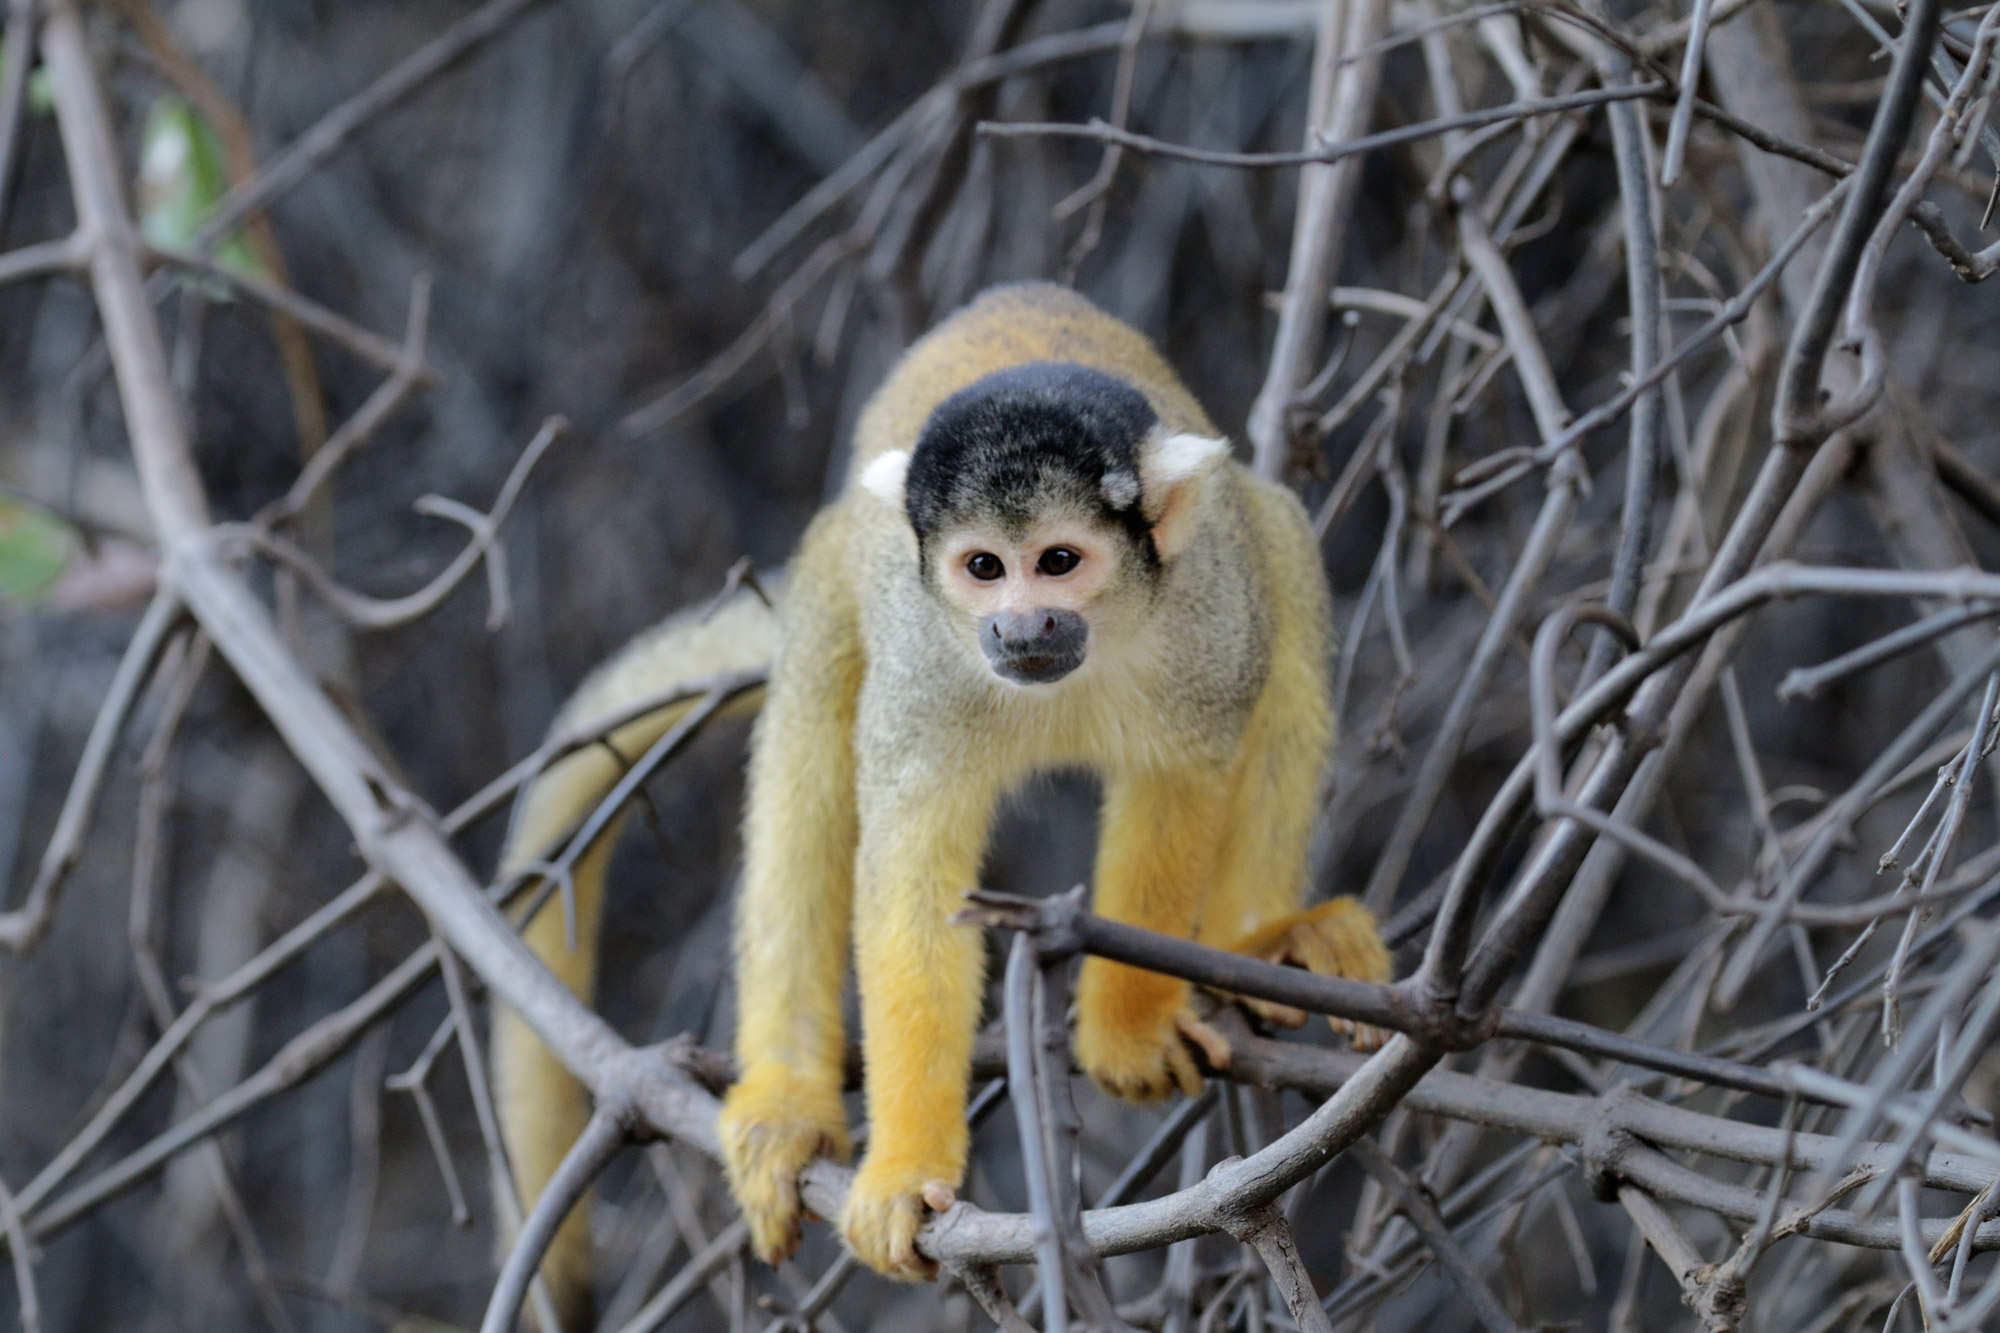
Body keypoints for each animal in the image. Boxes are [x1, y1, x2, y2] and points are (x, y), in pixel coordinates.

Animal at [492, 280, 1384, 1304]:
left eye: (1059, 561)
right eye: (984, 567)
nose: (1020, 627)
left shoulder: (1209, 611)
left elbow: (1180, 783)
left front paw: (1127, 1029)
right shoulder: (926, 656)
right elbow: (911, 879)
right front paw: (907, 1175)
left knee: (1281, 545)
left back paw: (1259, 937)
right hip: (836, 576)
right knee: (812, 732)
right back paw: (786, 1102)